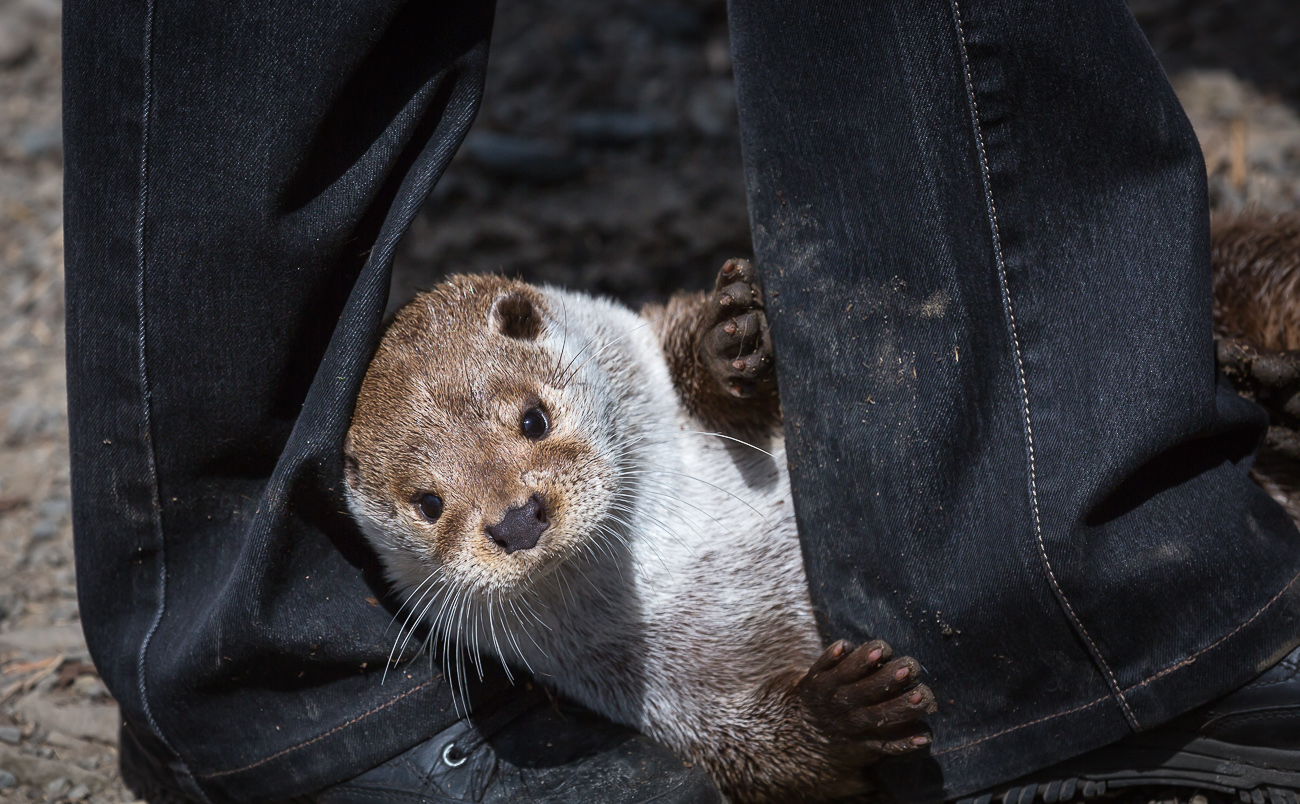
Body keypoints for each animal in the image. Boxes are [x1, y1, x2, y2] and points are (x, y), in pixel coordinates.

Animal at [343, 260, 935, 796]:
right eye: (428, 503)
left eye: (534, 419)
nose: (516, 520)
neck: (675, 562)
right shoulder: (657, 701)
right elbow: (757, 758)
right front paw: (843, 711)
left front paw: (728, 338)